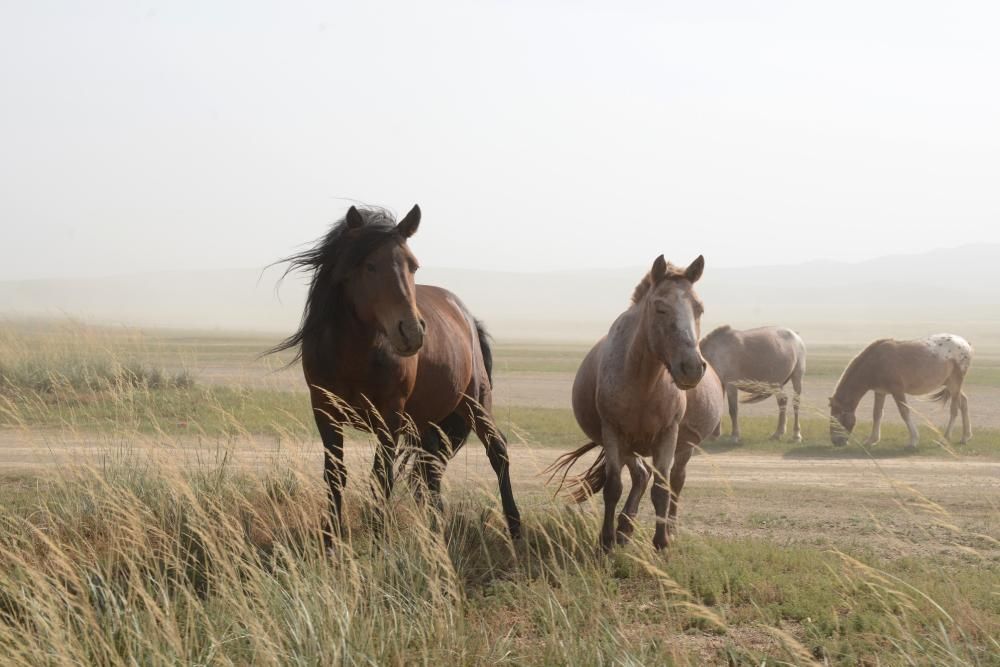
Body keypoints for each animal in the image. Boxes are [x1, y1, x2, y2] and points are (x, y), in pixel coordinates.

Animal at [272, 207, 524, 548]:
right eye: (369, 265)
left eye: (413, 265)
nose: (412, 331)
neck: (354, 355)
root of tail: (468, 317)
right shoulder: (325, 410)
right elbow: (335, 474)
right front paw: (330, 540)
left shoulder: (389, 417)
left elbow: (381, 477)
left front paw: (379, 540)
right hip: (425, 420)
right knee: (430, 468)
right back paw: (435, 529)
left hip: (475, 401)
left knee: (497, 451)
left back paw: (515, 529)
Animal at [548, 253, 712, 552]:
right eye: (660, 308)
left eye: (699, 308)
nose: (692, 368)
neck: (643, 384)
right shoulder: (613, 433)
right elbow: (613, 487)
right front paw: (606, 542)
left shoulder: (668, 435)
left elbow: (662, 490)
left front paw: (661, 544)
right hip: (625, 445)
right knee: (639, 475)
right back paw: (622, 530)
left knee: (652, 477)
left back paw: (635, 529)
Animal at [828, 332, 976, 448]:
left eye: (836, 418)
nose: (836, 442)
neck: (876, 362)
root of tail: (965, 344)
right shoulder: (880, 392)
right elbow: (877, 414)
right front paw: (872, 440)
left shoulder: (897, 391)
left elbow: (904, 412)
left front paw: (913, 441)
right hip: (950, 385)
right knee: (964, 402)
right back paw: (965, 437)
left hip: (955, 383)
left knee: (954, 409)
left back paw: (944, 439)